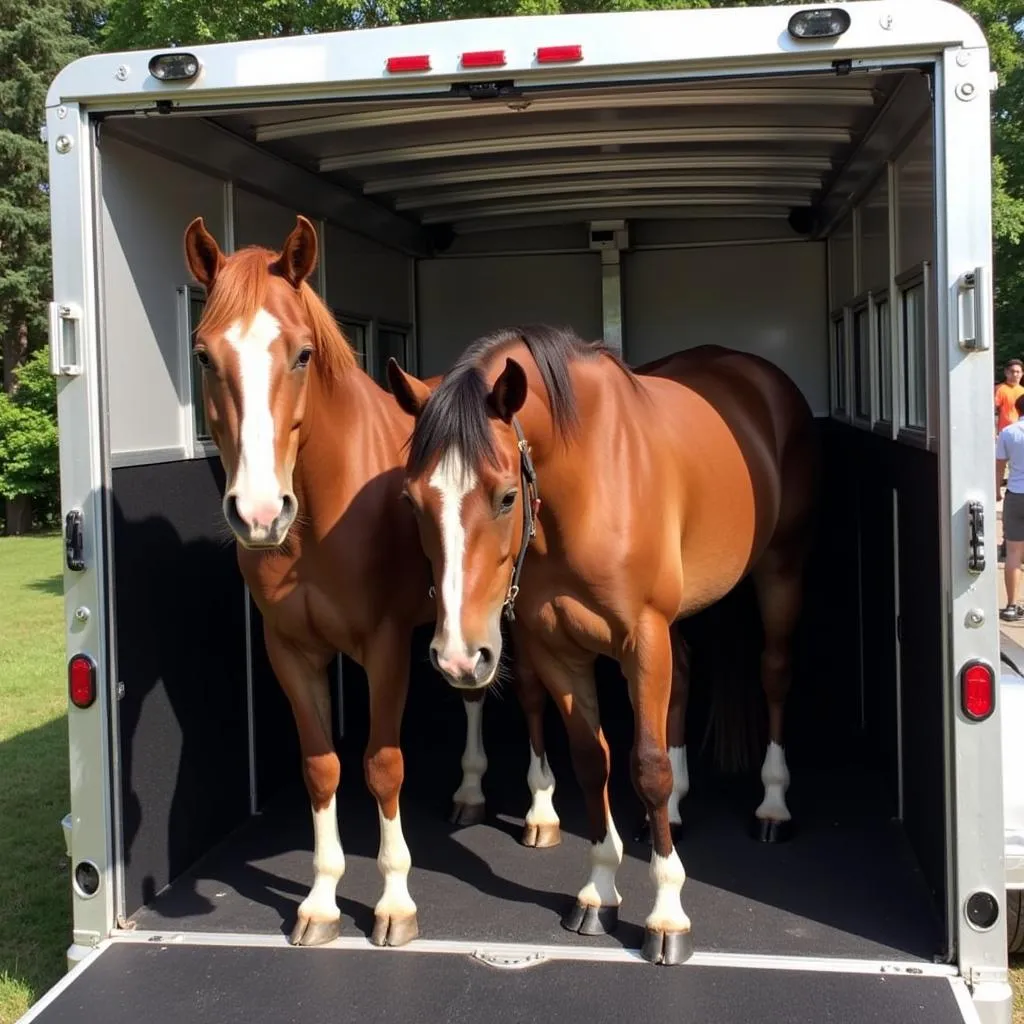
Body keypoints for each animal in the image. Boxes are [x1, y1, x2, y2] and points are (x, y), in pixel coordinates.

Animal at [177, 218, 561, 950]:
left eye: (301, 354)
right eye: (205, 356)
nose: (261, 513)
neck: (320, 518)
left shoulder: (384, 647)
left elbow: (383, 766)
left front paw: (394, 902)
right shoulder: (291, 651)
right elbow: (321, 766)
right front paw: (321, 902)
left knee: (528, 694)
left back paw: (540, 810)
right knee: (473, 693)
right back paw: (470, 792)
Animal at [387, 329, 819, 966]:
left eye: (507, 496)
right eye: (413, 501)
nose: (460, 657)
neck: (590, 481)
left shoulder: (643, 639)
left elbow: (648, 766)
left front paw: (668, 915)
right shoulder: (559, 649)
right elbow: (594, 762)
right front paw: (597, 892)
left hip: (782, 570)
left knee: (775, 674)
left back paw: (772, 805)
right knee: (685, 678)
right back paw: (679, 813)